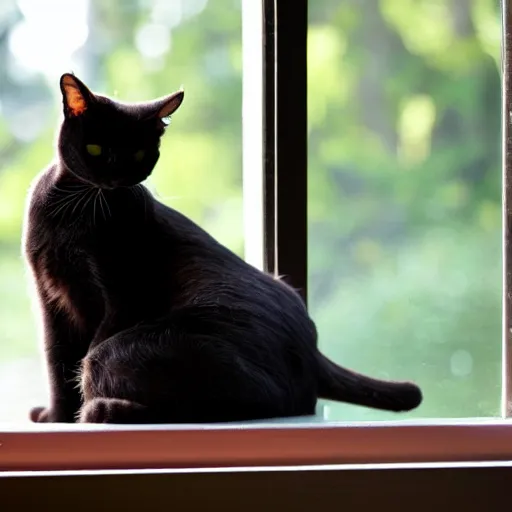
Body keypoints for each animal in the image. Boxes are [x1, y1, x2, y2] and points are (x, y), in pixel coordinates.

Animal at [24, 73, 422, 424]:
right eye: (95, 149)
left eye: (137, 154)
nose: (115, 178)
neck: (73, 211)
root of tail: (314, 355)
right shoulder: (50, 298)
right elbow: (56, 363)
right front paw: (57, 418)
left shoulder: (123, 296)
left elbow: (76, 360)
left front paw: (71, 417)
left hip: (127, 350)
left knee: (259, 400)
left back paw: (104, 410)